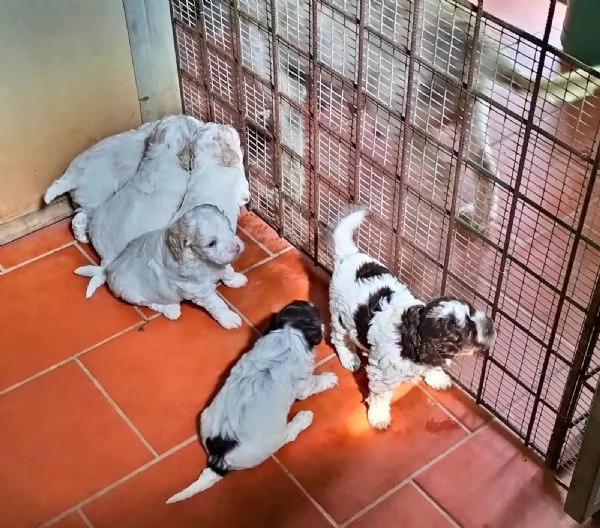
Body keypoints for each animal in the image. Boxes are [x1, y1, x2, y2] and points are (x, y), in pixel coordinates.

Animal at [77, 204, 246, 328]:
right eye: (211, 243)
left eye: (230, 229)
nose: (237, 247)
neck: (201, 260)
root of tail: (109, 268)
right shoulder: (197, 289)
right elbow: (216, 303)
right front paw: (229, 318)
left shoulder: (218, 264)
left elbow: (228, 270)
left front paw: (236, 279)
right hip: (132, 293)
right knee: (151, 303)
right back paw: (171, 309)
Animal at [166, 302, 340, 504]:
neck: (287, 334)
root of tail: (220, 457)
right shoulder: (304, 383)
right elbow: (315, 383)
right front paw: (329, 378)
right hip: (271, 440)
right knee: (288, 435)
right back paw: (303, 418)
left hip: (205, 415)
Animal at [328, 208, 496, 432]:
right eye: (467, 333)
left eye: (473, 311)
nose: (492, 327)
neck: (411, 333)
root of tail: (349, 255)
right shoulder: (382, 374)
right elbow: (380, 397)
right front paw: (378, 417)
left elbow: (433, 365)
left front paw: (437, 377)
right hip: (340, 317)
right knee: (339, 339)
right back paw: (350, 358)